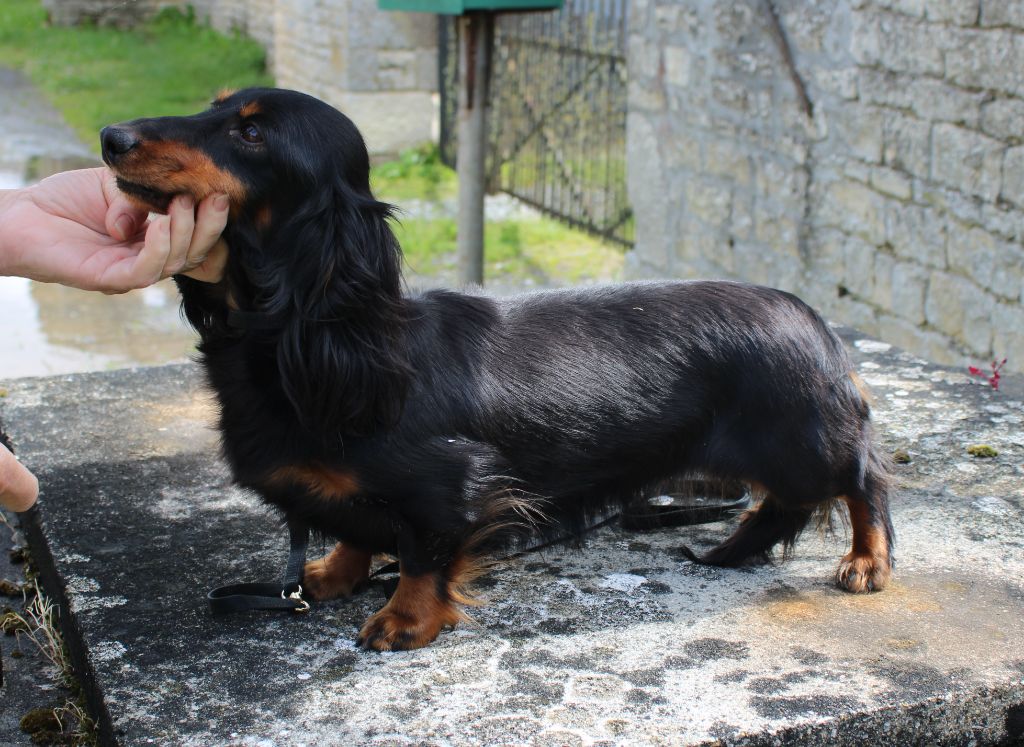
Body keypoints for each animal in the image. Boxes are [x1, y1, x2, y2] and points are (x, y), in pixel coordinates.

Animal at [100, 88, 894, 651]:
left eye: (251, 133)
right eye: (214, 105)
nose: (111, 138)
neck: (308, 338)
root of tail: (817, 324)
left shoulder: (453, 484)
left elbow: (423, 551)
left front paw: (405, 618)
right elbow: (357, 528)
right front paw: (332, 575)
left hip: (801, 445)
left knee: (863, 476)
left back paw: (868, 559)